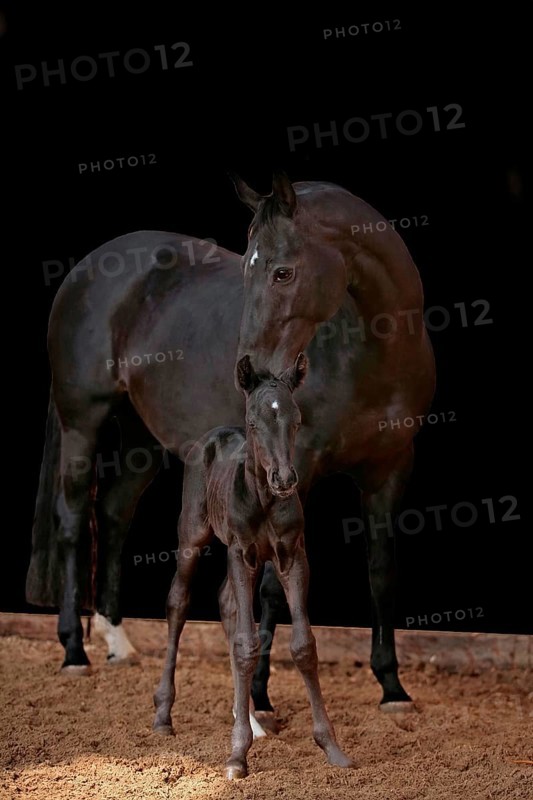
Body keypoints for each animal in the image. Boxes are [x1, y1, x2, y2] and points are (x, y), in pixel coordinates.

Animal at [26, 176, 434, 721]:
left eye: (283, 271)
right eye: (246, 266)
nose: (252, 369)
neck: (371, 352)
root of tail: (85, 269)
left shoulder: (390, 470)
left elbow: (382, 573)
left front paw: (392, 687)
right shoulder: (293, 471)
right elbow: (271, 588)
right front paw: (258, 695)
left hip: (140, 439)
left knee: (113, 512)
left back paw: (118, 643)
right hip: (82, 422)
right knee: (73, 519)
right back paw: (74, 651)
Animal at [153, 353, 353, 778]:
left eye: (296, 419)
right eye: (254, 422)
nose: (285, 479)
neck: (262, 499)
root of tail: (210, 437)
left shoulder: (292, 556)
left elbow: (303, 645)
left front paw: (331, 747)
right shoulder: (240, 552)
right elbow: (247, 644)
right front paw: (236, 757)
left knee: (226, 603)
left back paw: (249, 720)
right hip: (193, 535)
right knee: (179, 601)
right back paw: (163, 716)